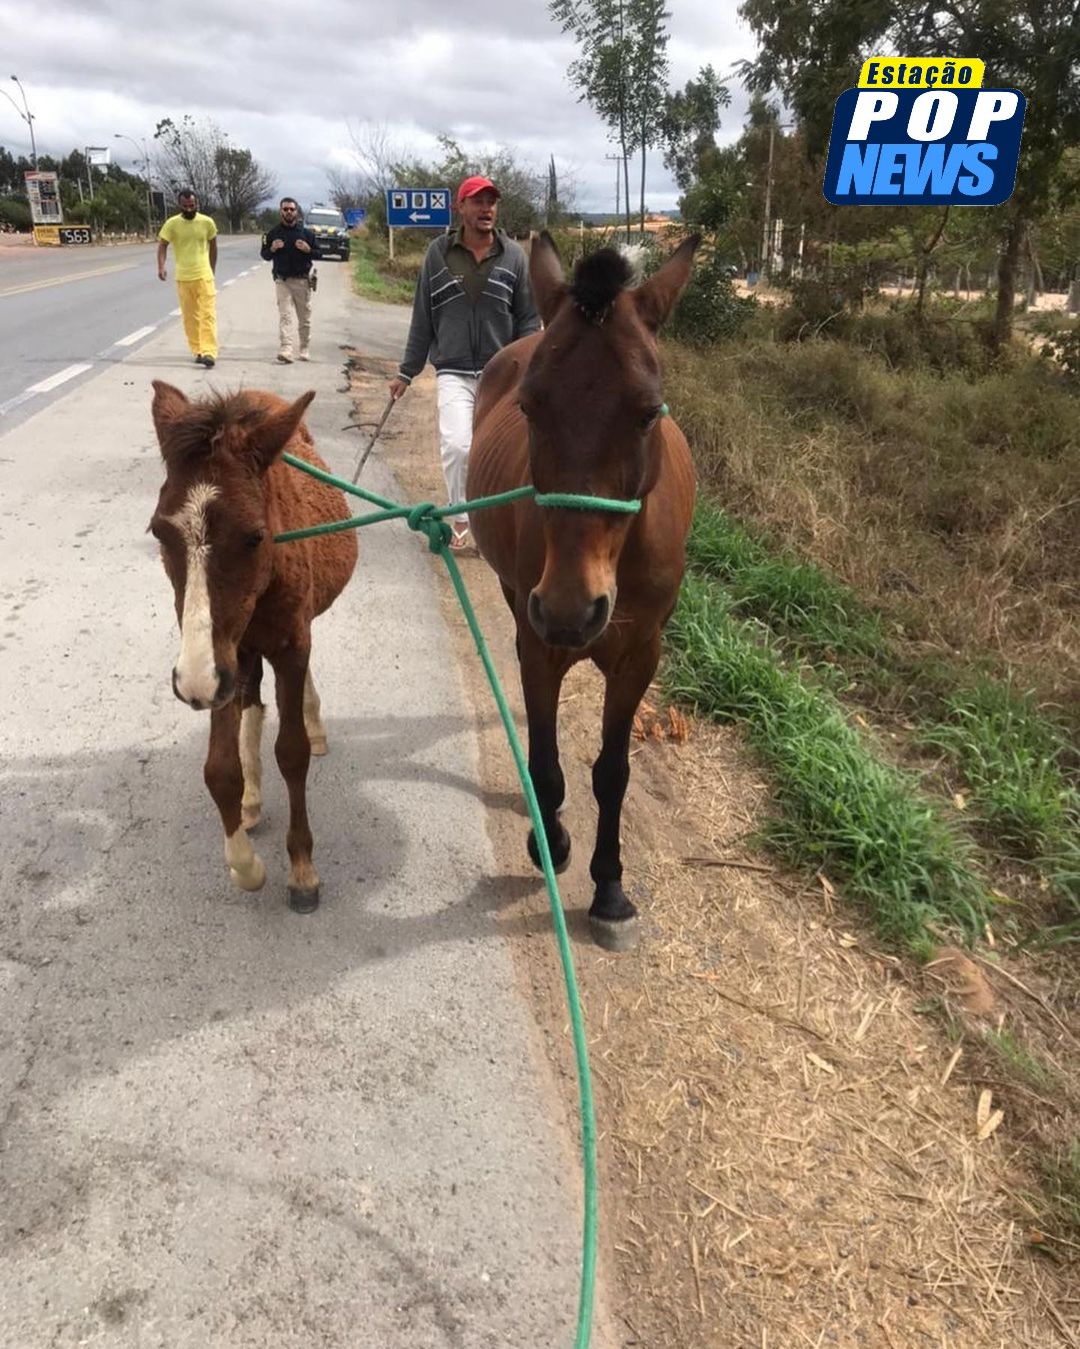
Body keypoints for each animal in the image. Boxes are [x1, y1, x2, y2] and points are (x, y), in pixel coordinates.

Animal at [147, 380, 355, 911]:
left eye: (255, 536)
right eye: (159, 531)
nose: (192, 682)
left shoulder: (288, 644)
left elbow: (293, 752)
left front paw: (302, 871)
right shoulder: (225, 656)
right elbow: (220, 768)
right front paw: (246, 867)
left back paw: (313, 722)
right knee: (252, 704)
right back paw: (252, 800)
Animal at [469, 234, 701, 949]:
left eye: (648, 413)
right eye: (530, 406)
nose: (573, 609)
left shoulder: (639, 657)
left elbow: (612, 772)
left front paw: (610, 889)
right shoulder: (541, 644)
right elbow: (548, 762)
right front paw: (551, 844)